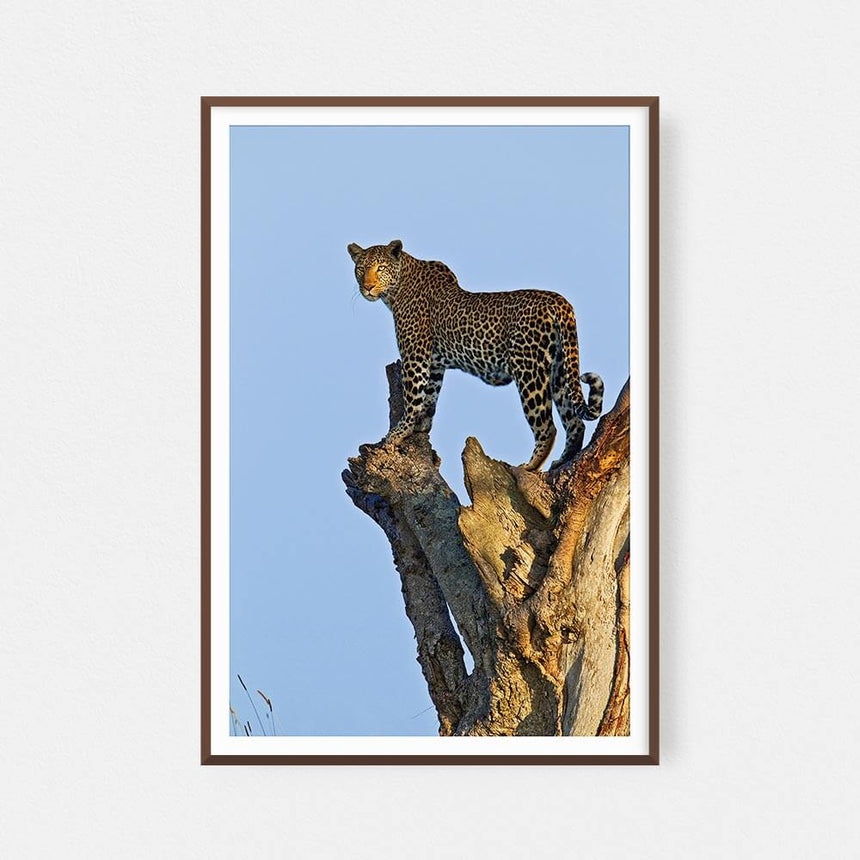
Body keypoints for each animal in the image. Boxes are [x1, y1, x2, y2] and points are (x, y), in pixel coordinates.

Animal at [348, 239, 604, 471]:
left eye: (380, 267)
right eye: (360, 269)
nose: (367, 287)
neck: (396, 289)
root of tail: (559, 301)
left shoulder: (415, 355)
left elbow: (412, 397)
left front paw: (397, 433)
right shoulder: (434, 364)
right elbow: (430, 396)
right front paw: (422, 426)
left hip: (528, 368)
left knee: (547, 426)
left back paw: (530, 466)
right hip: (560, 369)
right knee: (574, 421)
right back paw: (563, 459)